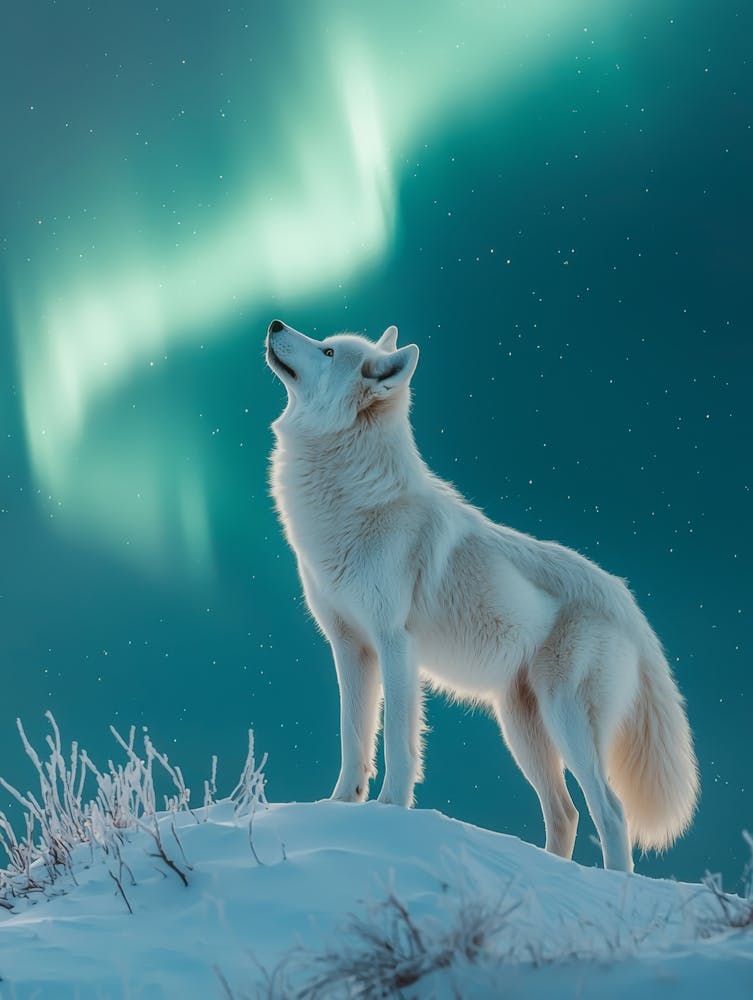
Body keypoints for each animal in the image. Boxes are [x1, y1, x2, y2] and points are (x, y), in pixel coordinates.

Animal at [265, 318, 699, 872]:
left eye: (326, 351)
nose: (275, 324)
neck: (353, 502)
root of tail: (627, 601)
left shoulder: (395, 645)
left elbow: (399, 744)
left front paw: (391, 812)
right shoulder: (349, 647)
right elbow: (353, 739)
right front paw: (340, 806)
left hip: (566, 720)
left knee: (611, 811)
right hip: (522, 728)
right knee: (566, 813)